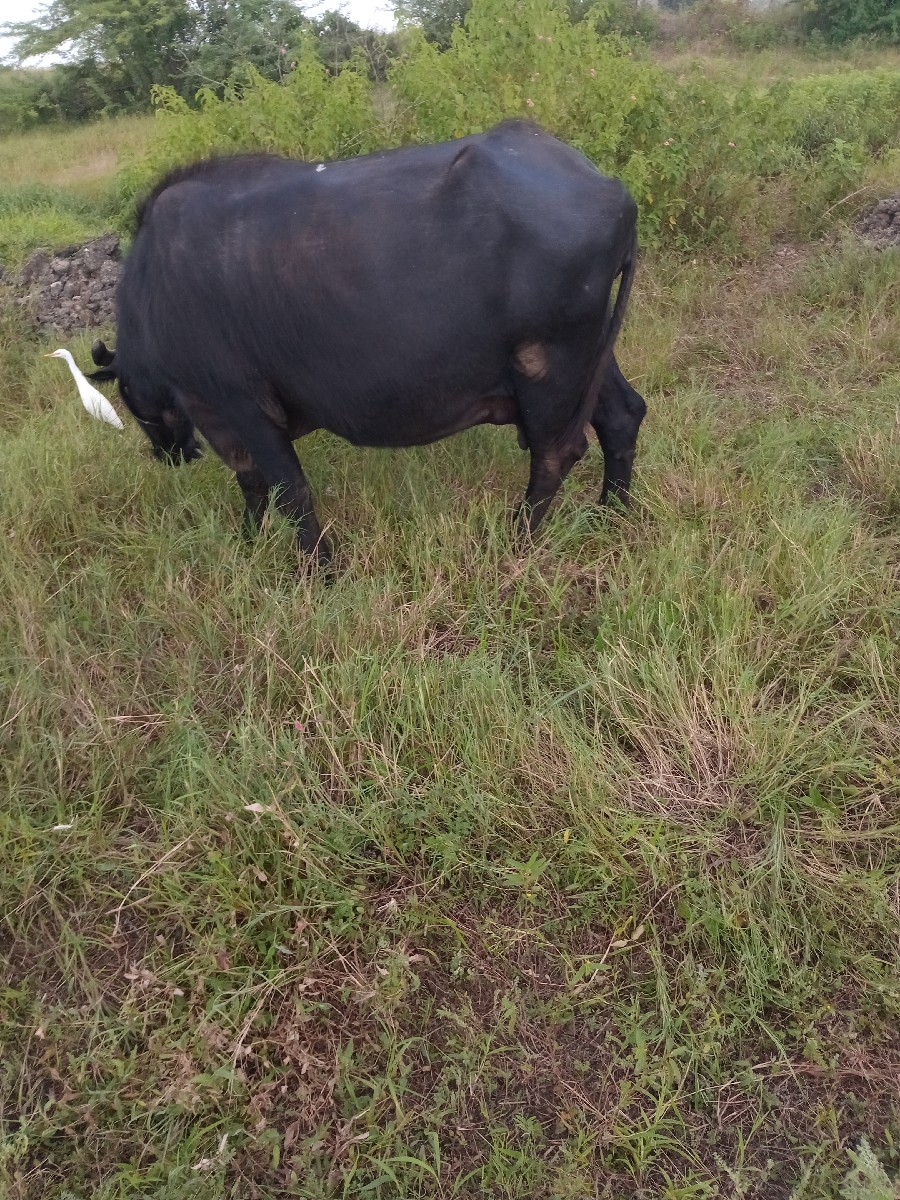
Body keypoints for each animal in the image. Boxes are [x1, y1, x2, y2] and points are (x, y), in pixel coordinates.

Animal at [92, 119, 646, 566]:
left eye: (126, 395)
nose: (169, 455)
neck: (153, 289)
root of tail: (613, 191)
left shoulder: (235, 406)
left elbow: (287, 490)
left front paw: (320, 569)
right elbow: (252, 485)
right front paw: (247, 542)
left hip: (548, 365)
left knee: (556, 454)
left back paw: (518, 539)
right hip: (592, 356)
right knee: (623, 416)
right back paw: (610, 516)